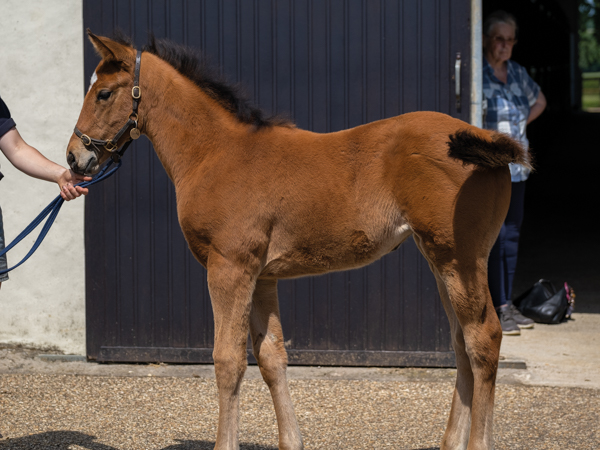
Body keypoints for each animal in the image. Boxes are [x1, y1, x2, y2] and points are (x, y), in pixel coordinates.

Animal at [67, 32, 528, 450]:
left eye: (104, 93)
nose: (75, 156)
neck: (216, 152)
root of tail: (484, 141)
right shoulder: (263, 276)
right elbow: (272, 357)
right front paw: (291, 440)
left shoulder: (229, 268)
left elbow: (228, 359)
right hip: (439, 260)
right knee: (461, 344)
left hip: (460, 259)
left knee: (484, 338)